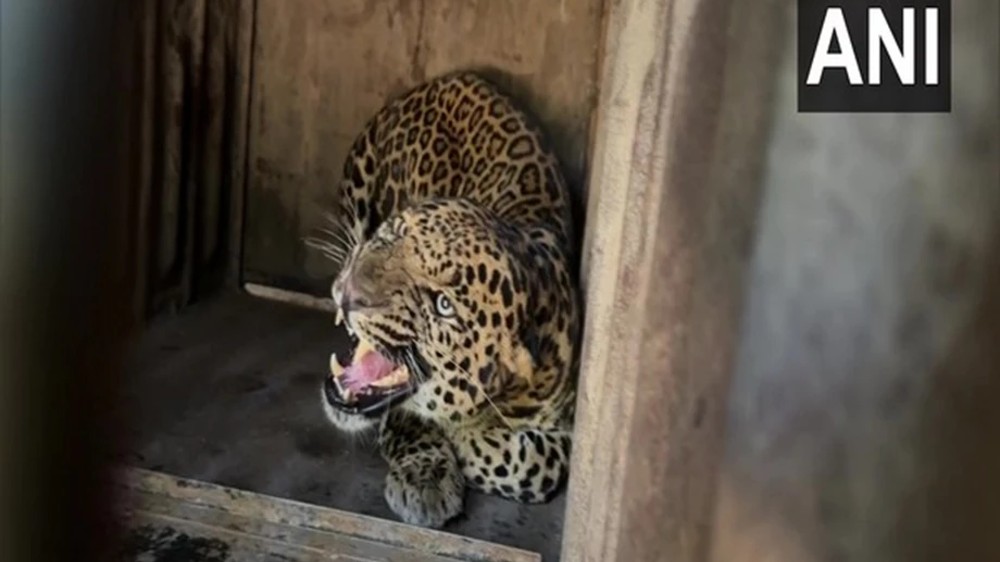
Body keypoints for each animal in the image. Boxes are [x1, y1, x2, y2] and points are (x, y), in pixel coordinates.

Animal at [312, 71, 580, 528]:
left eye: (443, 305)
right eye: (391, 234)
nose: (348, 295)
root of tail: (455, 77)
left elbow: (531, 466)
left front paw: (467, 434)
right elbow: (414, 421)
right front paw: (427, 479)